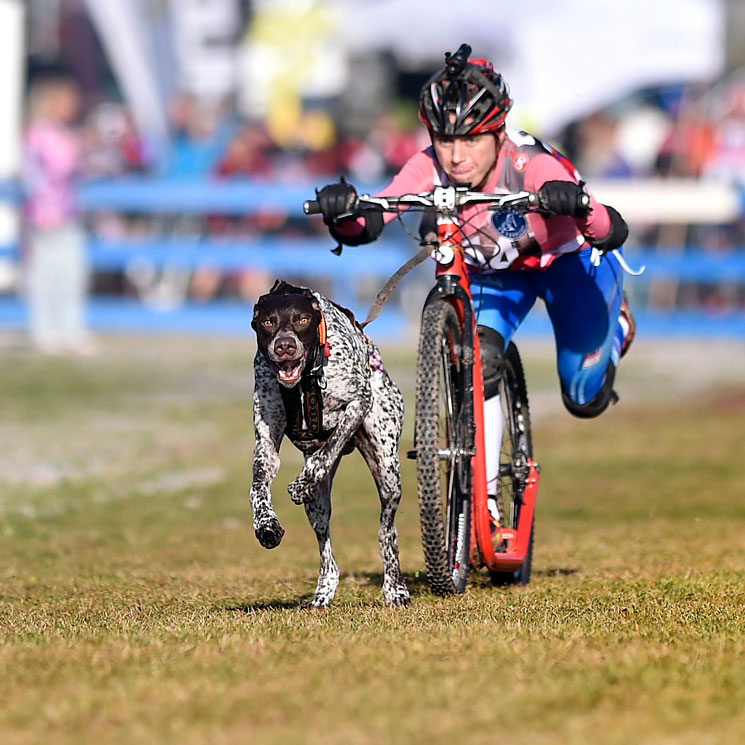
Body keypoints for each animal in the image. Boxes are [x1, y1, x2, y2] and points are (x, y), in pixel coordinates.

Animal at [250, 280, 412, 604]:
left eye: (302, 320)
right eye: (268, 322)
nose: (284, 345)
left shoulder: (358, 404)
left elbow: (328, 449)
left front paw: (301, 483)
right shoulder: (266, 443)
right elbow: (258, 487)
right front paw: (266, 524)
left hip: (388, 471)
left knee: (387, 531)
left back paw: (395, 588)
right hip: (318, 507)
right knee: (325, 545)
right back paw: (325, 589)